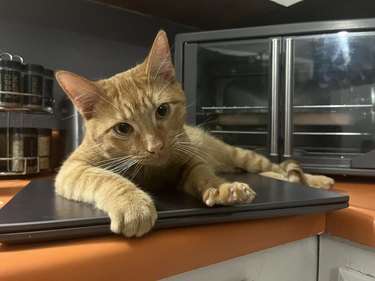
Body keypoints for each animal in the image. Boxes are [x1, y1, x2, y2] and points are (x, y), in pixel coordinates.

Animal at [55, 30, 334, 236]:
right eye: (123, 128)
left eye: (162, 110)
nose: (156, 147)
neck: (152, 171)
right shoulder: (72, 169)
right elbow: (105, 178)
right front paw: (133, 204)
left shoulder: (189, 160)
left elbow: (203, 173)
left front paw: (221, 188)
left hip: (243, 156)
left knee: (277, 169)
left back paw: (318, 179)